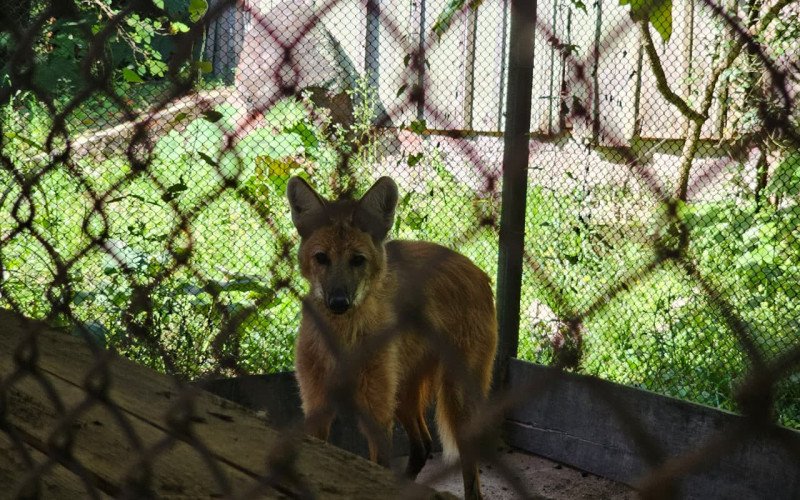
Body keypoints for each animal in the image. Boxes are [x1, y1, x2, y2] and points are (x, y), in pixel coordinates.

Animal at [286, 176, 498, 499]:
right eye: (321, 258)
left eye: (357, 260)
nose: (338, 302)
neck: (344, 339)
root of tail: (477, 269)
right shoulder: (316, 401)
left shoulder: (376, 413)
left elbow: (378, 467)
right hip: (403, 388)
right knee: (423, 444)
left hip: (453, 394)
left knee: (466, 463)